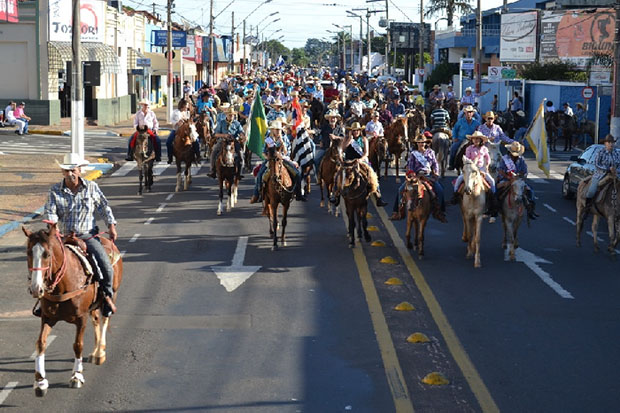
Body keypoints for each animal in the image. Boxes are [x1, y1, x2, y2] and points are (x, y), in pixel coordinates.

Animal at [22, 222, 121, 396]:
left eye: (47, 254)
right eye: (29, 253)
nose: (35, 289)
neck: (63, 284)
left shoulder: (81, 318)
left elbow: (78, 345)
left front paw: (76, 376)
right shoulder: (47, 317)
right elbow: (41, 343)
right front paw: (40, 381)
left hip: (111, 295)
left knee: (105, 319)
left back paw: (100, 353)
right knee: (96, 320)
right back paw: (95, 351)